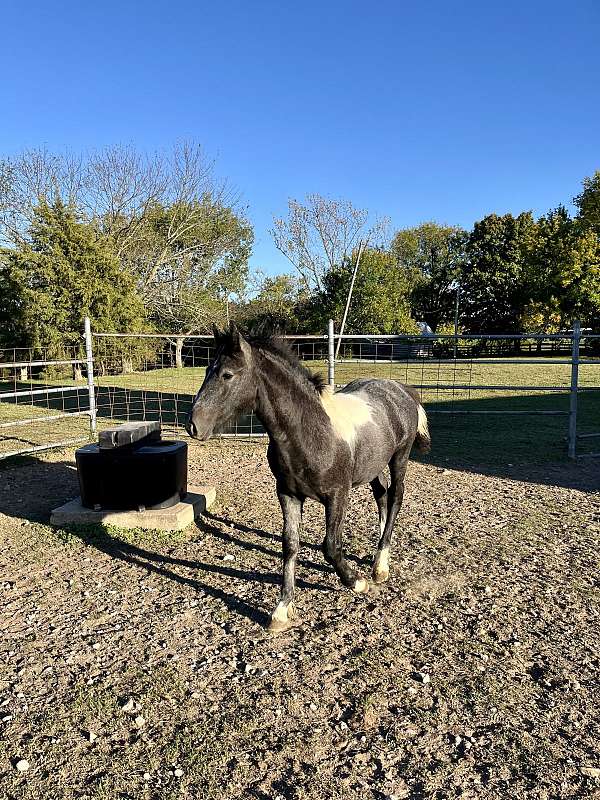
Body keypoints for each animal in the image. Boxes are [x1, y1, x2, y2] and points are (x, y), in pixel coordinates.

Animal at [185, 324, 428, 632]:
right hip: (373, 465)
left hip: (400, 457)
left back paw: (380, 567)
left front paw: (356, 582)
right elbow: (290, 545)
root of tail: (402, 390)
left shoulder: (338, 495)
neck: (310, 431)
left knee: (396, 496)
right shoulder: (288, 493)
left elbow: (330, 546)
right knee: (382, 494)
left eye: (228, 374)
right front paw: (281, 609)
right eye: (207, 369)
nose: (193, 425)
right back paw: (377, 559)